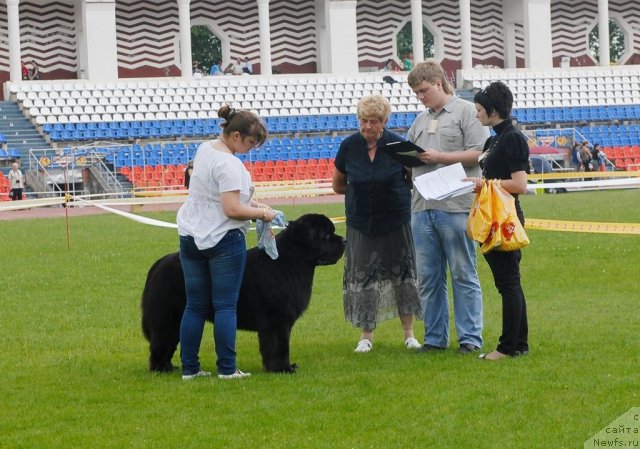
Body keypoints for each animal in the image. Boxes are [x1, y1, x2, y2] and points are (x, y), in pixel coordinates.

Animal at [141, 212, 344, 372]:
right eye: (327, 235)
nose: (344, 240)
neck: (292, 261)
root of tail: (158, 265)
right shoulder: (277, 321)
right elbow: (280, 347)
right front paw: (283, 369)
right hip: (168, 318)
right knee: (161, 344)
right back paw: (161, 369)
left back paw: (170, 367)